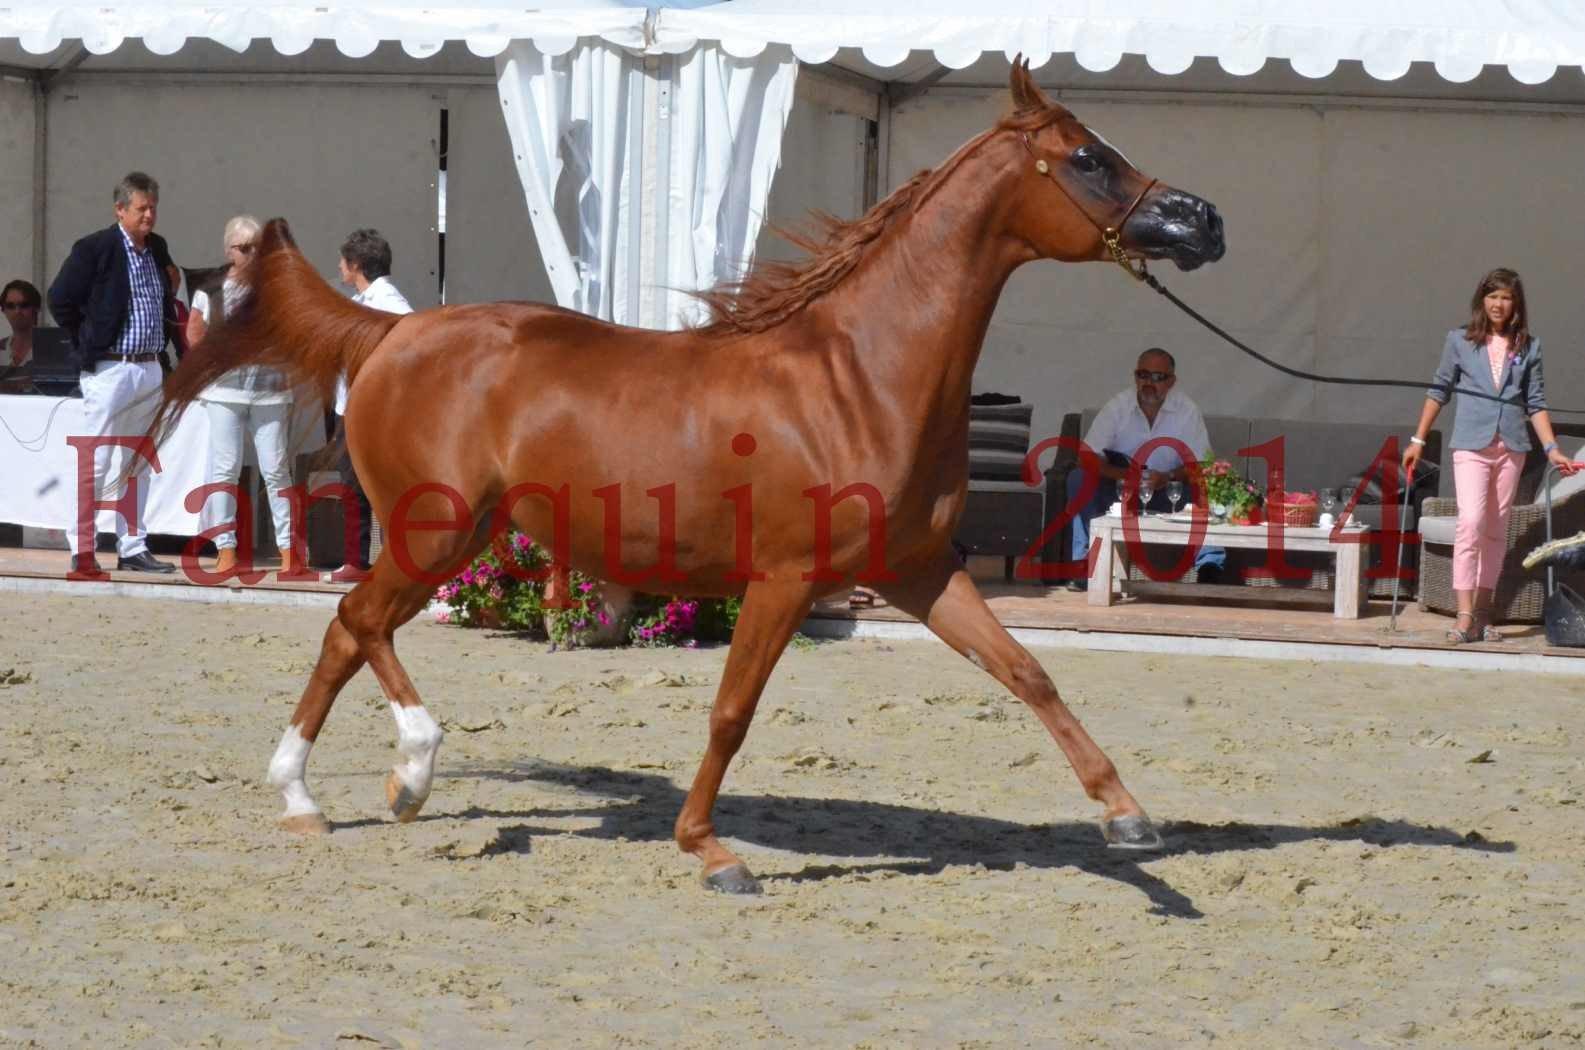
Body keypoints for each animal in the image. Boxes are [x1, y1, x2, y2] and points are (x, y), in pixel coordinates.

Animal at [151, 63, 1223, 894]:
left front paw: (1127, 817)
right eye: (1085, 157)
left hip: (464, 535)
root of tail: (390, 331)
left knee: (347, 633)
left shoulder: (918, 569)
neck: (859, 375)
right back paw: (406, 774)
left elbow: (1027, 671)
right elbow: (731, 711)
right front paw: (711, 852)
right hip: (435, 531)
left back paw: (305, 799)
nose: (1201, 221)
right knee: (357, 621)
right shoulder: (785, 579)